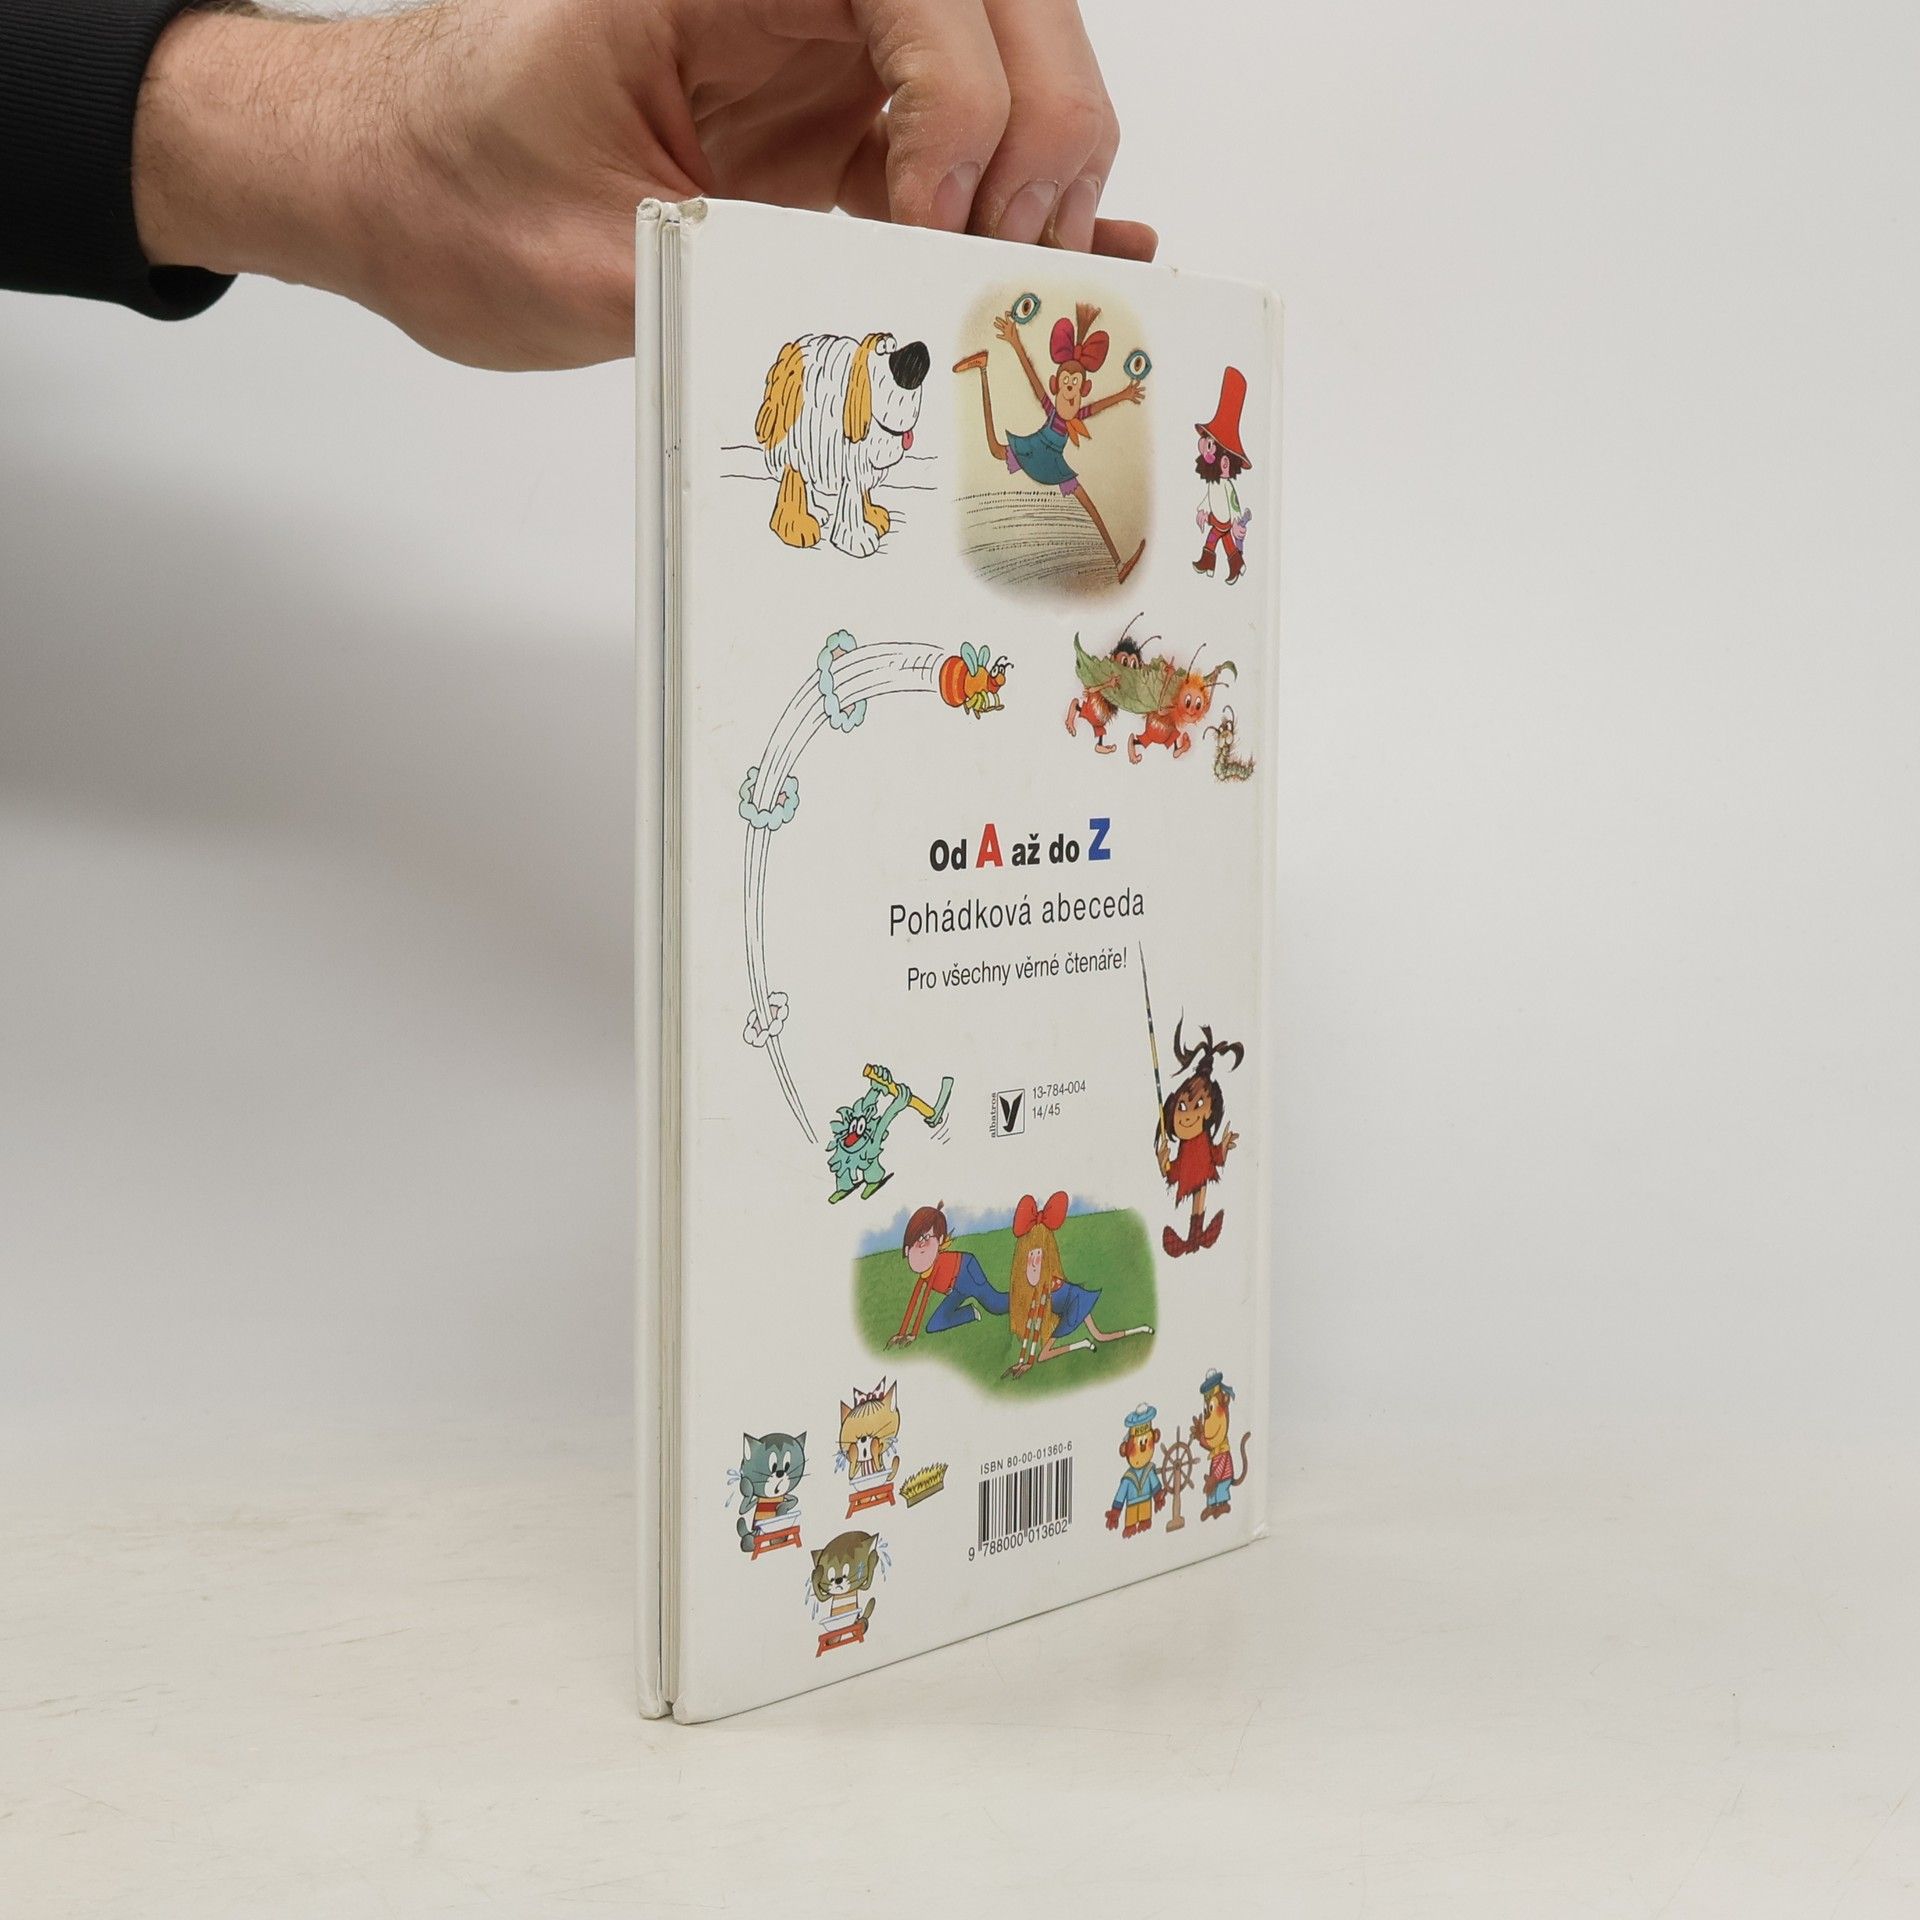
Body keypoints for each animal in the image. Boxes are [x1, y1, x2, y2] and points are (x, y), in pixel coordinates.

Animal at [753, 332, 930, 558]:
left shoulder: (856, 460)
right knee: (795, 475)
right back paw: (799, 522)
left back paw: (815, 512)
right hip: (794, 439)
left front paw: (871, 517)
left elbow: (859, 490)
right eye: (882, 350)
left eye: (892, 346)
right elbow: (851, 495)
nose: (918, 353)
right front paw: (857, 538)